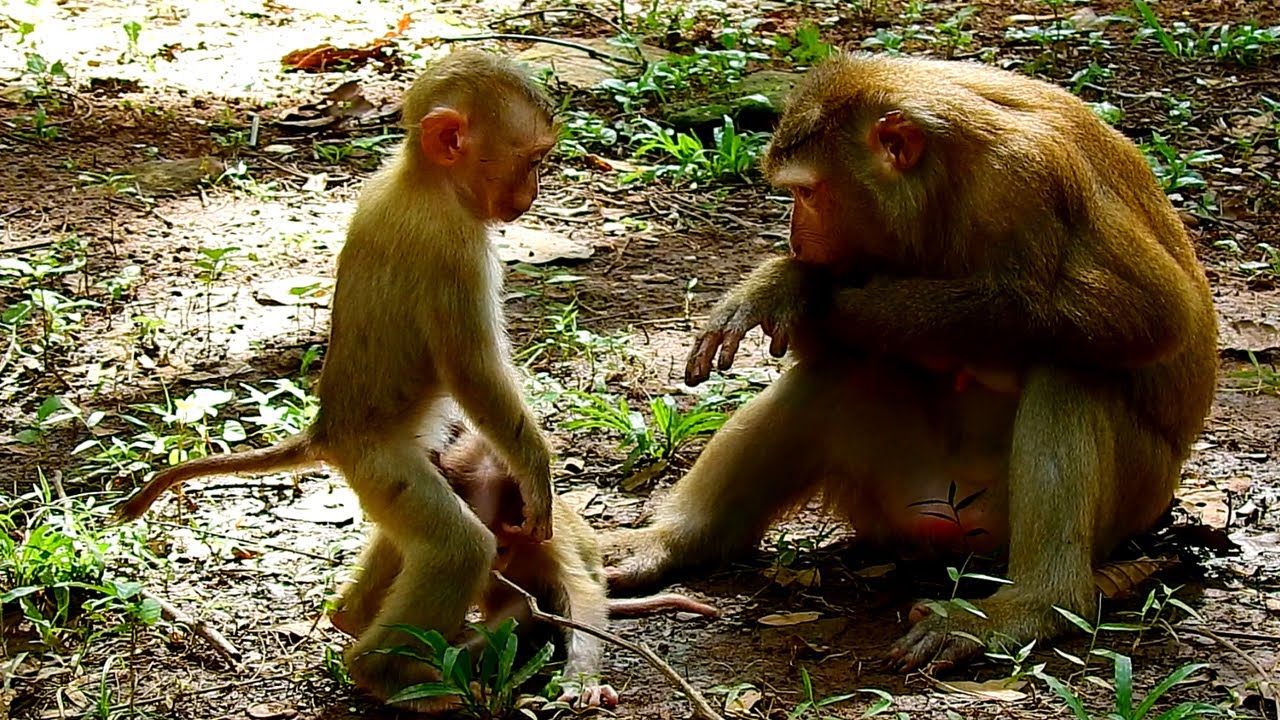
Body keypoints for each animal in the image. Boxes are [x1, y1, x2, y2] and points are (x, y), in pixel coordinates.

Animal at [112, 50, 560, 710]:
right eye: (532, 160)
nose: (531, 194)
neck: (422, 182)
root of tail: (327, 430)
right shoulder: (457, 249)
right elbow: (473, 373)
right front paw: (535, 472)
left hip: (386, 461)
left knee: (414, 518)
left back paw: (352, 617)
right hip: (376, 462)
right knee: (456, 547)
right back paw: (381, 672)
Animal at [601, 52, 1217, 671]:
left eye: (807, 194)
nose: (794, 240)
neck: (947, 178)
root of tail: (946, 521)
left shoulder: (1025, 176)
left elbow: (1157, 313)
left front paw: (805, 290)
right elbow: (830, 350)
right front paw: (790, 284)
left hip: (1127, 497)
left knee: (1070, 367)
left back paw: (1034, 604)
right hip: (887, 492)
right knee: (837, 376)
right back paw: (673, 541)